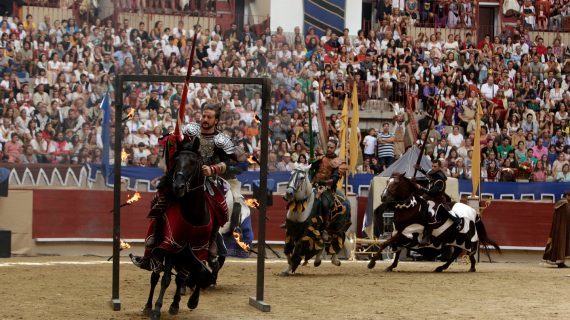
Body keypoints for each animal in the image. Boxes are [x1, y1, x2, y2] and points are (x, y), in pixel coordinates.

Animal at [368, 172, 496, 272]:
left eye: (396, 183)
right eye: (387, 181)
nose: (383, 197)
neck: (410, 208)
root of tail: (474, 212)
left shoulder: (406, 233)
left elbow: (385, 244)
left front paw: (372, 263)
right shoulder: (398, 233)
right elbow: (396, 249)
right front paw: (391, 266)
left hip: (465, 239)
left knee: (466, 253)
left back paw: (470, 267)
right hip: (455, 239)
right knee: (456, 253)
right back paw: (444, 267)